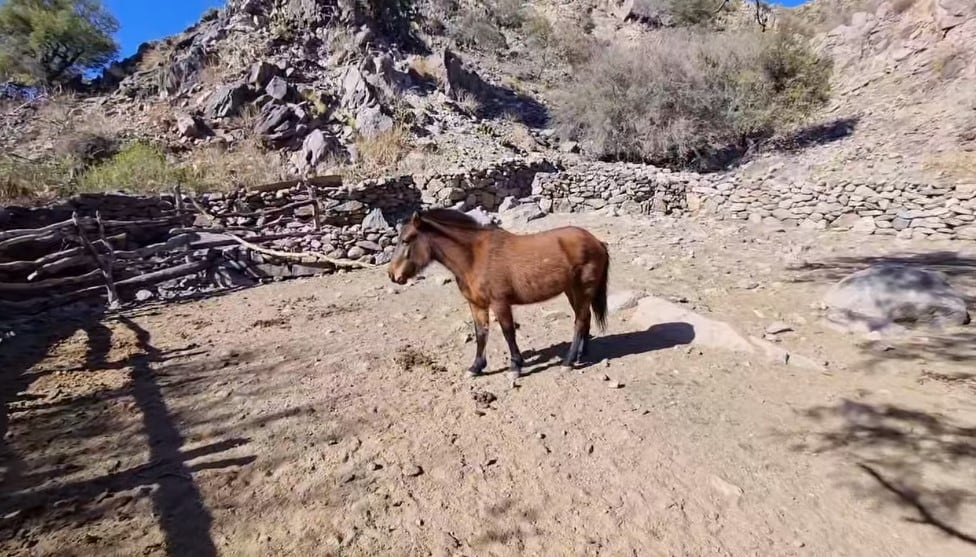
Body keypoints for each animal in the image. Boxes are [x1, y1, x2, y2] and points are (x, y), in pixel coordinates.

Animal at [384, 208, 608, 378]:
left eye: (406, 240)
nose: (392, 275)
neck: (474, 257)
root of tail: (597, 242)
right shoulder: (476, 304)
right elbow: (481, 334)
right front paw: (476, 367)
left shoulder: (500, 303)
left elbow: (508, 333)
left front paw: (515, 367)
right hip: (572, 291)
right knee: (585, 319)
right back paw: (580, 355)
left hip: (582, 290)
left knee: (580, 321)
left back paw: (568, 362)